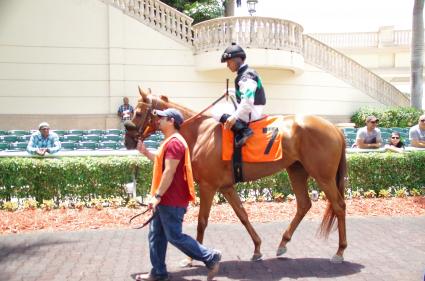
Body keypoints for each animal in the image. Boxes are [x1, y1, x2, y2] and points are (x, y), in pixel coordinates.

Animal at [124, 86, 346, 262]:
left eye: (137, 112)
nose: (128, 141)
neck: (200, 133)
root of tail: (335, 128)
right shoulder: (226, 186)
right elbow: (243, 215)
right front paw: (257, 248)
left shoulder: (208, 186)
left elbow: (202, 222)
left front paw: (191, 258)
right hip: (297, 169)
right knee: (304, 204)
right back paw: (283, 243)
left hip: (323, 176)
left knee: (339, 206)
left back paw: (340, 251)